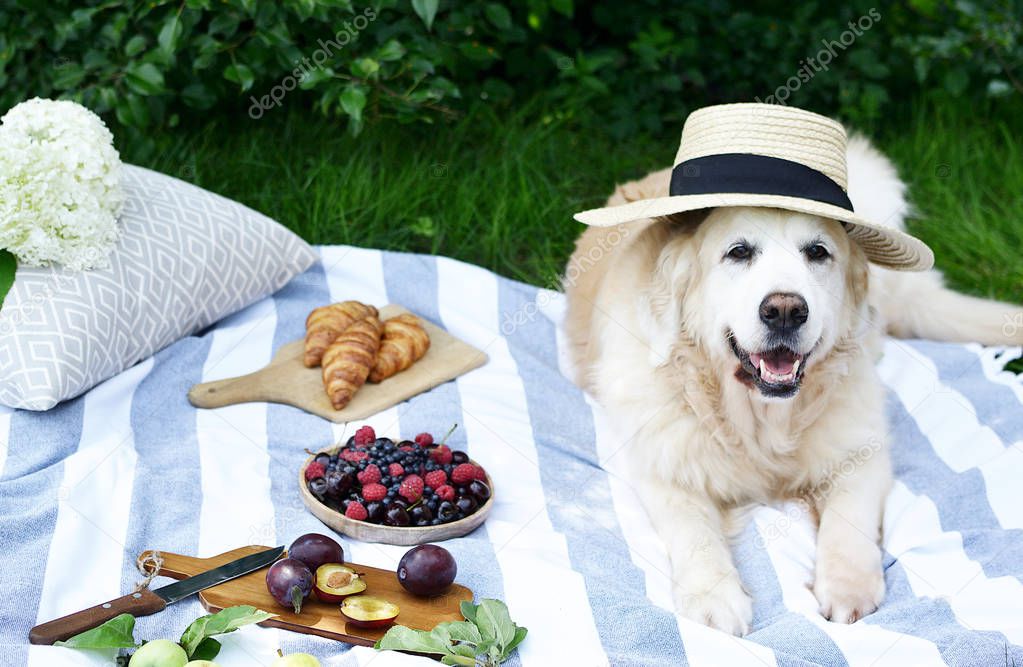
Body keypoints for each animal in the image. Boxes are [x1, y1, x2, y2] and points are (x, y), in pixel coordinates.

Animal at [564, 135, 1023, 634]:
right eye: (739, 252)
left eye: (817, 252)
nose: (784, 310)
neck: (760, 418)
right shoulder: (659, 462)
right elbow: (692, 527)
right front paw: (714, 596)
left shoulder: (863, 450)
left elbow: (849, 517)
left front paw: (847, 588)